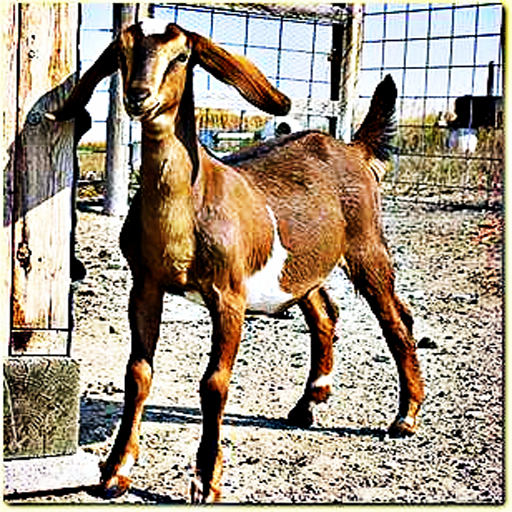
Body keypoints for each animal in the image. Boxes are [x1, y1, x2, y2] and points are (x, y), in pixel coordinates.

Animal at [47, 20, 424, 503]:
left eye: (182, 56)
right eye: (122, 54)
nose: (138, 96)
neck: (190, 206)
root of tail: (354, 148)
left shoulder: (229, 294)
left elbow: (215, 383)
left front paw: (207, 479)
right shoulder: (145, 284)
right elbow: (137, 373)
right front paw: (116, 470)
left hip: (366, 245)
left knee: (396, 320)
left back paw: (405, 417)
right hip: (303, 267)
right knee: (325, 313)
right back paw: (308, 402)